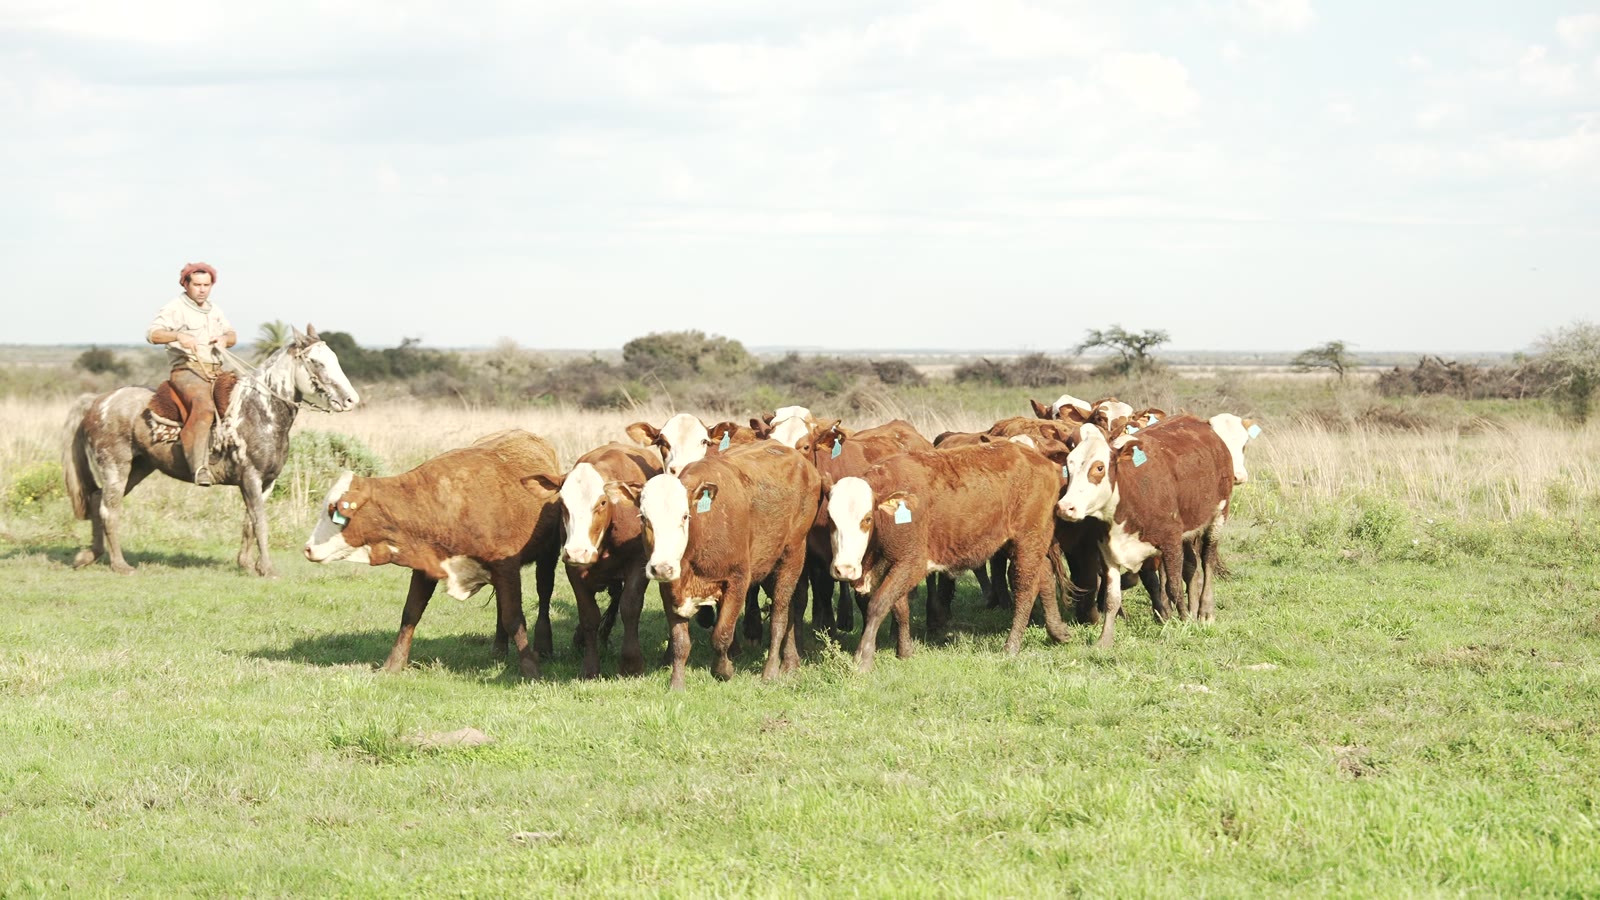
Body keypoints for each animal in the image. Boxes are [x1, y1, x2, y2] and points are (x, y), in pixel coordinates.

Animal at [62, 324, 360, 577]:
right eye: (316, 362)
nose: (351, 400)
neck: (259, 411)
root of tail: (98, 401)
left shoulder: (266, 482)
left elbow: (249, 522)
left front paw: (246, 564)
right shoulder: (250, 478)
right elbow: (260, 522)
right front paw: (266, 568)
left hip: (140, 467)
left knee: (97, 499)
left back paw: (89, 556)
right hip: (116, 466)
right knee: (109, 510)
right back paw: (120, 565)